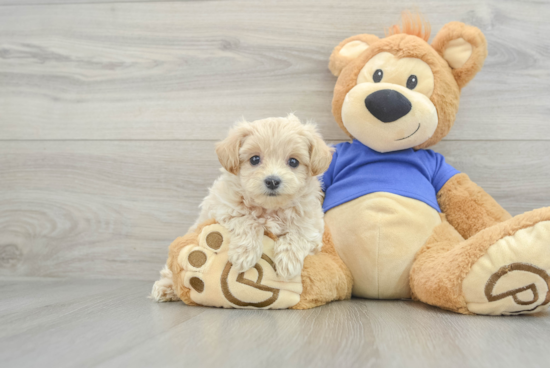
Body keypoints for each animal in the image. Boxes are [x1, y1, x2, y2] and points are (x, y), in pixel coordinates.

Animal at [151, 114, 332, 302]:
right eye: (255, 159)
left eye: (293, 162)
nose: (272, 181)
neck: (270, 208)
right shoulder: (225, 208)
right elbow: (247, 220)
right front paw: (244, 255)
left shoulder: (312, 225)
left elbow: (299, 233)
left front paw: (287, 262)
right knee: (170, 273)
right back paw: (166, 288)